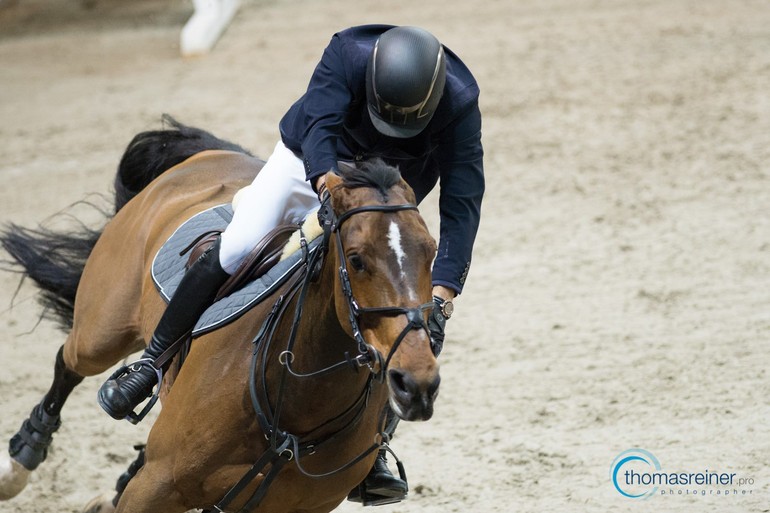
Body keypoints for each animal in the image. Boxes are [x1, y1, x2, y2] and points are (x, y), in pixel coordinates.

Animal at [0, 117, 440, 512]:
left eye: (432, 252)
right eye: (357, 259)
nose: (415, 385)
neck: (295, 411)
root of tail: (210, 154)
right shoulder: (155, 487)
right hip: (103, 333)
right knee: (69, 362)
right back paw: (21, 461)